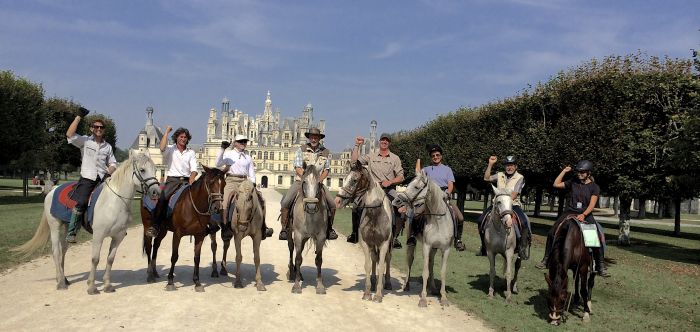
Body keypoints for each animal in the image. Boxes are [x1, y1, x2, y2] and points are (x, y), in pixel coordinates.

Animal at [13, 152, 161, 294]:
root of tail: (52, 190)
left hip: (67, 229)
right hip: (55, 226)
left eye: (155, 170)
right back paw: (60, 283)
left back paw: (63, 279)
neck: (114, 202)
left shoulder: (118, 237)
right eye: (142, 170)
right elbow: (95, 259)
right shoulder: (98, 236)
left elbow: (110, 259)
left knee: (63, 250)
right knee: (56, 251)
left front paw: (107, 285)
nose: (156, 192)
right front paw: (92, 287)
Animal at [286, 165, 330, 294]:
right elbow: (298, 258)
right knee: (291, 249)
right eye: (304, 182)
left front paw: (320, 286)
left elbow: (319, 259)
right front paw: (296, 286)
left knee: (298, 251)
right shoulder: (298, 235)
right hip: (290, 233)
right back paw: (292, 273)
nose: (311, 206)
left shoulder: (321, 237)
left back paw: (298, 273)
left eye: (319, 183)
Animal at [338, 160, 394, 302]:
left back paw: (387, 283)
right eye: (344, 178)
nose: (338, 200)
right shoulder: (365, 243)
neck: (375, 214)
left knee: (387, 259)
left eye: (354, 180)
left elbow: (381, 266)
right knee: (374, 258)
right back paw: (374, 283)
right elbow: (368, 265)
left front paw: (378, 295)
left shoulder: (384, 243)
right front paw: (367, 292)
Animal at [392, 170, 452, 308]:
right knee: (410, 260)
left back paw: (433, 288)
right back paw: (407, 285)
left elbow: (442, 272)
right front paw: (423, 299)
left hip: (435, 248)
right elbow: (425, 272)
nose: (397, 200)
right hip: (412, 242)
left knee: (431, 263)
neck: (438, 221)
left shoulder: (445, 249)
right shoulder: (426, 246)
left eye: (416, 187)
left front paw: (443, 297)